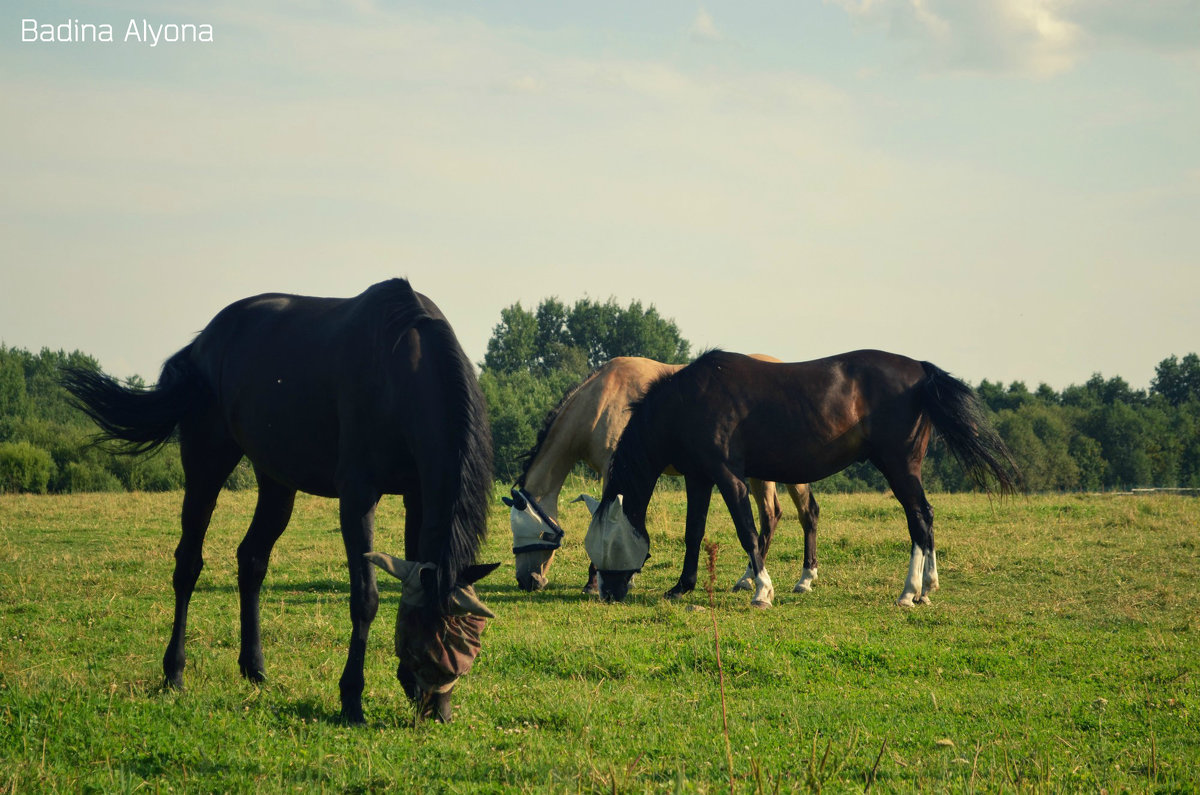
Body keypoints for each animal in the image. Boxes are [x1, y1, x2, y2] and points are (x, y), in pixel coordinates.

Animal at [64, 282, 496, 730]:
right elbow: (366, 598)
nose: (438, 712)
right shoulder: (358, 495)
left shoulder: (418, 495)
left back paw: (254, 668)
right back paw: (174, 672)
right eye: (427, 650)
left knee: (251, 559)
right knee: (188, 564)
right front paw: (351, 698)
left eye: (469, 644)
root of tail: (201, 344)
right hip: (206, 466)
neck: (402, 371)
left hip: (276, 484)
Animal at [501, 357, 820, 595]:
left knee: (793, 514)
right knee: (784, 515)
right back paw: (759, 578)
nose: (527, 581)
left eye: (541, 534)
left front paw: (594, 581)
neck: (601, 401)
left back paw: (798, 578)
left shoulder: (612, 469)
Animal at [585, 353, 1017, 607]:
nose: (606, 593)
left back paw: (909, 591)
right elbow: (694, 533)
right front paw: (681, 587)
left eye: (611, 542)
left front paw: (762, 589)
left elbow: (747, 530)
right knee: (924, 518)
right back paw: (926, 587)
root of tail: (920, 370)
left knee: (919, 518)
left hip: (900, 466)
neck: (688, 400)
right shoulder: (699, 477)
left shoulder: (728, 475)